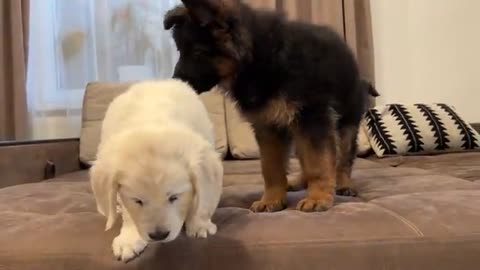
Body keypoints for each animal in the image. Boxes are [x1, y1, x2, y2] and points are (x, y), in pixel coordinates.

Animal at [89, 79, 223, 262]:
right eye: (137, 200)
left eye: (174, 197)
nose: (159, 236)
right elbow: (128, 211)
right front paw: (129, 239)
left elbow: (201, 197)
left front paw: (199, 223)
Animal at [163, 0, 370, 213]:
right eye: (181, 51)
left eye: (198, 53)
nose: (174, 82)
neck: (258, 59)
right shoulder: (268, 126)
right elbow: (271, 167)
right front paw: (271, 200)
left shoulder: (313, 118)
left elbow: (318, 162)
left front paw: (318, 197)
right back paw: (298, 181)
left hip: (346, 123)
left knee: (344, 158)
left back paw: (343, 184)